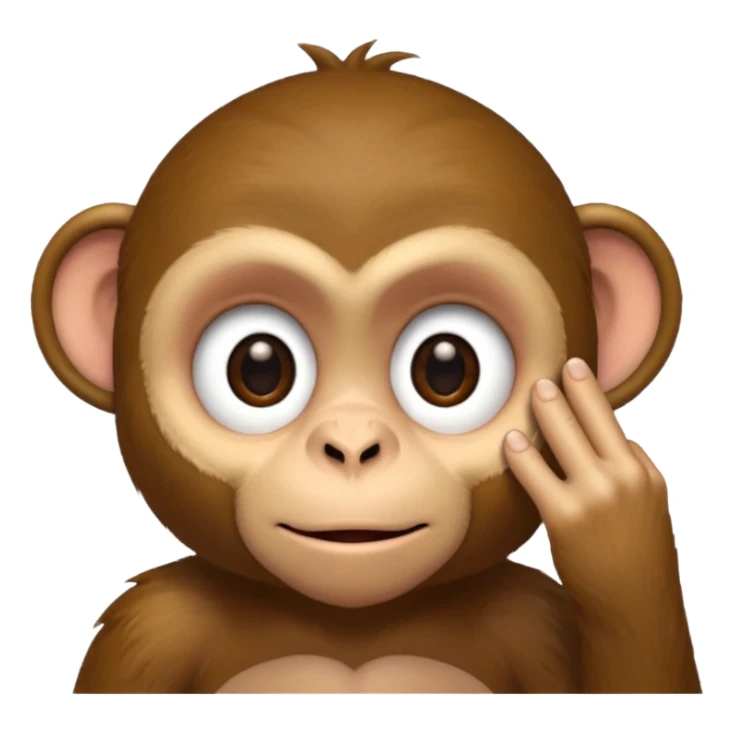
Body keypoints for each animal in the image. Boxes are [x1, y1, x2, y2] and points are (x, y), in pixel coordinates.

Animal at [32, 40, 700, 694]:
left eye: (446, 368)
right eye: (258, 369)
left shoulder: (537, 621)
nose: (352, 446)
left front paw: (611, 519)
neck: (353, 628)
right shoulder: (149, 633)